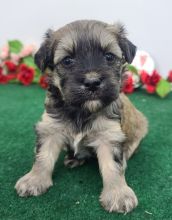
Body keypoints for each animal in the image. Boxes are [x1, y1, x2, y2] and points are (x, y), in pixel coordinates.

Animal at [14, 20, 148, 213]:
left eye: (109, 57)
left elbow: (113, 166)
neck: (81, 111)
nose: (92, 82)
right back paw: (74, 159)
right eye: (68, 61)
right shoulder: (50, 128)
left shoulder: (109, 135)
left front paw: (118, 194)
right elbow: (43, 156)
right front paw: (34, 179)